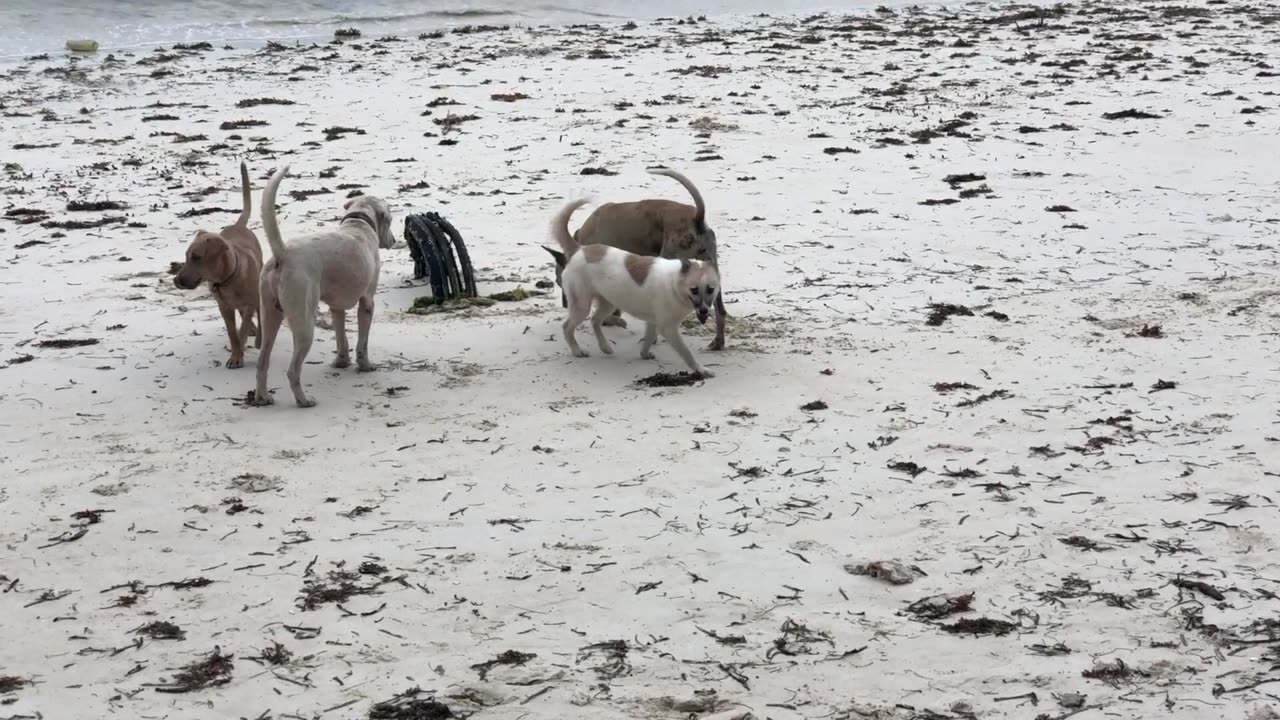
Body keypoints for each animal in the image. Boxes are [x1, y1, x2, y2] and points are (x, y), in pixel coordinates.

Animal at [248, 165, 389, 407]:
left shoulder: (336, 308)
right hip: (304, 323)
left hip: (269, 317)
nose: (394, 240)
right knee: (292, 371)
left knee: (262, 362)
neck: (359, 224)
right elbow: (362, 343)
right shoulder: (367, 302)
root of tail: (283, 254)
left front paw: (341, 361)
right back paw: (304, 400)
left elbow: (341, 338)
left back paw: (264, 397)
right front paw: (365, 365)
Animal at [540, 166, 727, 351]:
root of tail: (697, 218)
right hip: (712, 273)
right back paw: (718, 342)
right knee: (721, 311)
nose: (565, 305)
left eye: (558, 281)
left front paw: (614, 319)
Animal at [552, 196, 721, 376]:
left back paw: (605, 347)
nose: (704, 311)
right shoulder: (668, 328)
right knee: (567, 327)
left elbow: (648, 339)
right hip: (582, 306)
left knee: (595, 321)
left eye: (711, 290)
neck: (675, 282)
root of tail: (580, 249)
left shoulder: (654, 322)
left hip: (609, 302)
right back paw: (577, 351)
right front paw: (701, 369)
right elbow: (686, 353)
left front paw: (644, 354)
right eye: (694, 290)